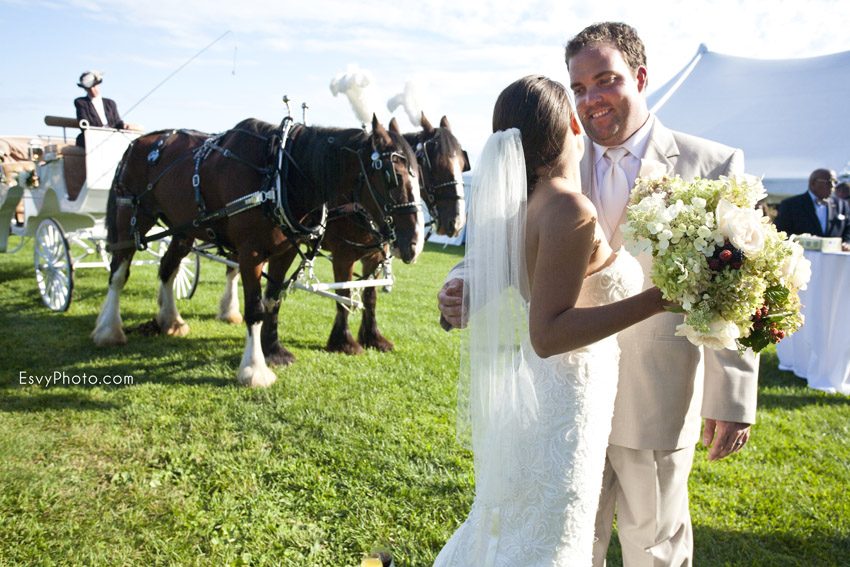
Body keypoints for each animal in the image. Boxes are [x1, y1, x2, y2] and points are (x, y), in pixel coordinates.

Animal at [91, 115, 422, 390]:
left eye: (419, 173)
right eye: (392, 176)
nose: (415, 243)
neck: (278, 174)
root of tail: (139, 142)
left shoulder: (284, 251)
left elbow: (273, 301)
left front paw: (273, 350)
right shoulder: (251, 253)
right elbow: (255, 309)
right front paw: (254, 369)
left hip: (183, 230)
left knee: (167, 269)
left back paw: (171, 321)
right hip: (132, 217)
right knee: (118, 273)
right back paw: (109, 331)